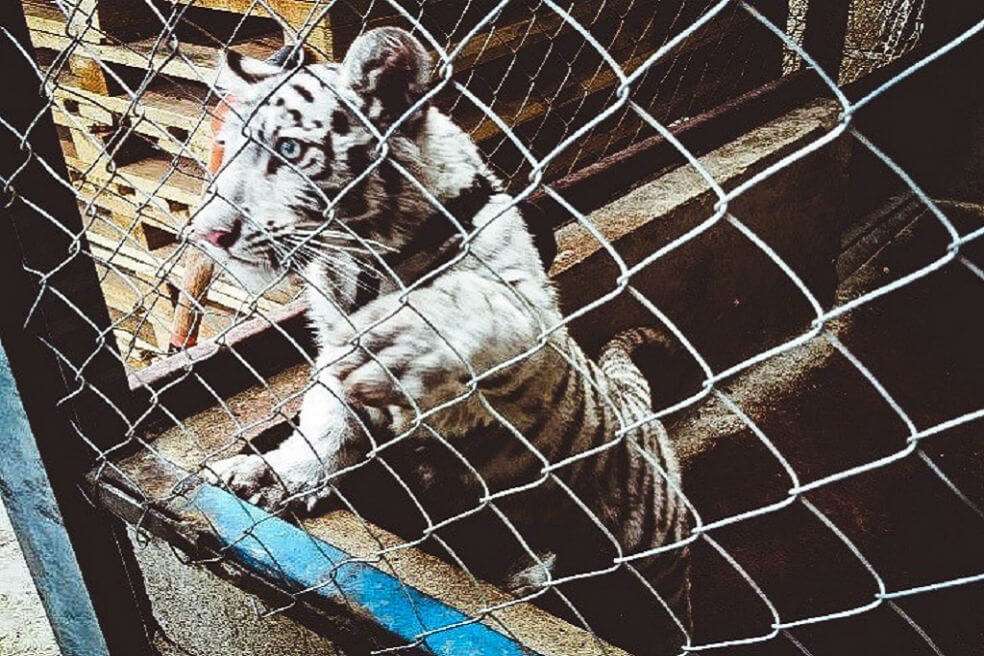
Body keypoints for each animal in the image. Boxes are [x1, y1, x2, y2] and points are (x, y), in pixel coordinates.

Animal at [190, 27, 692, 654]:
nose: (208, 232)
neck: (361, 267)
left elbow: (485, 312)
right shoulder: (330, 350)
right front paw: (272, 473)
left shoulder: (532, 329)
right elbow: (325, 423)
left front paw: (413, 339)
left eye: (288, 149)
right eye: (226, 147)